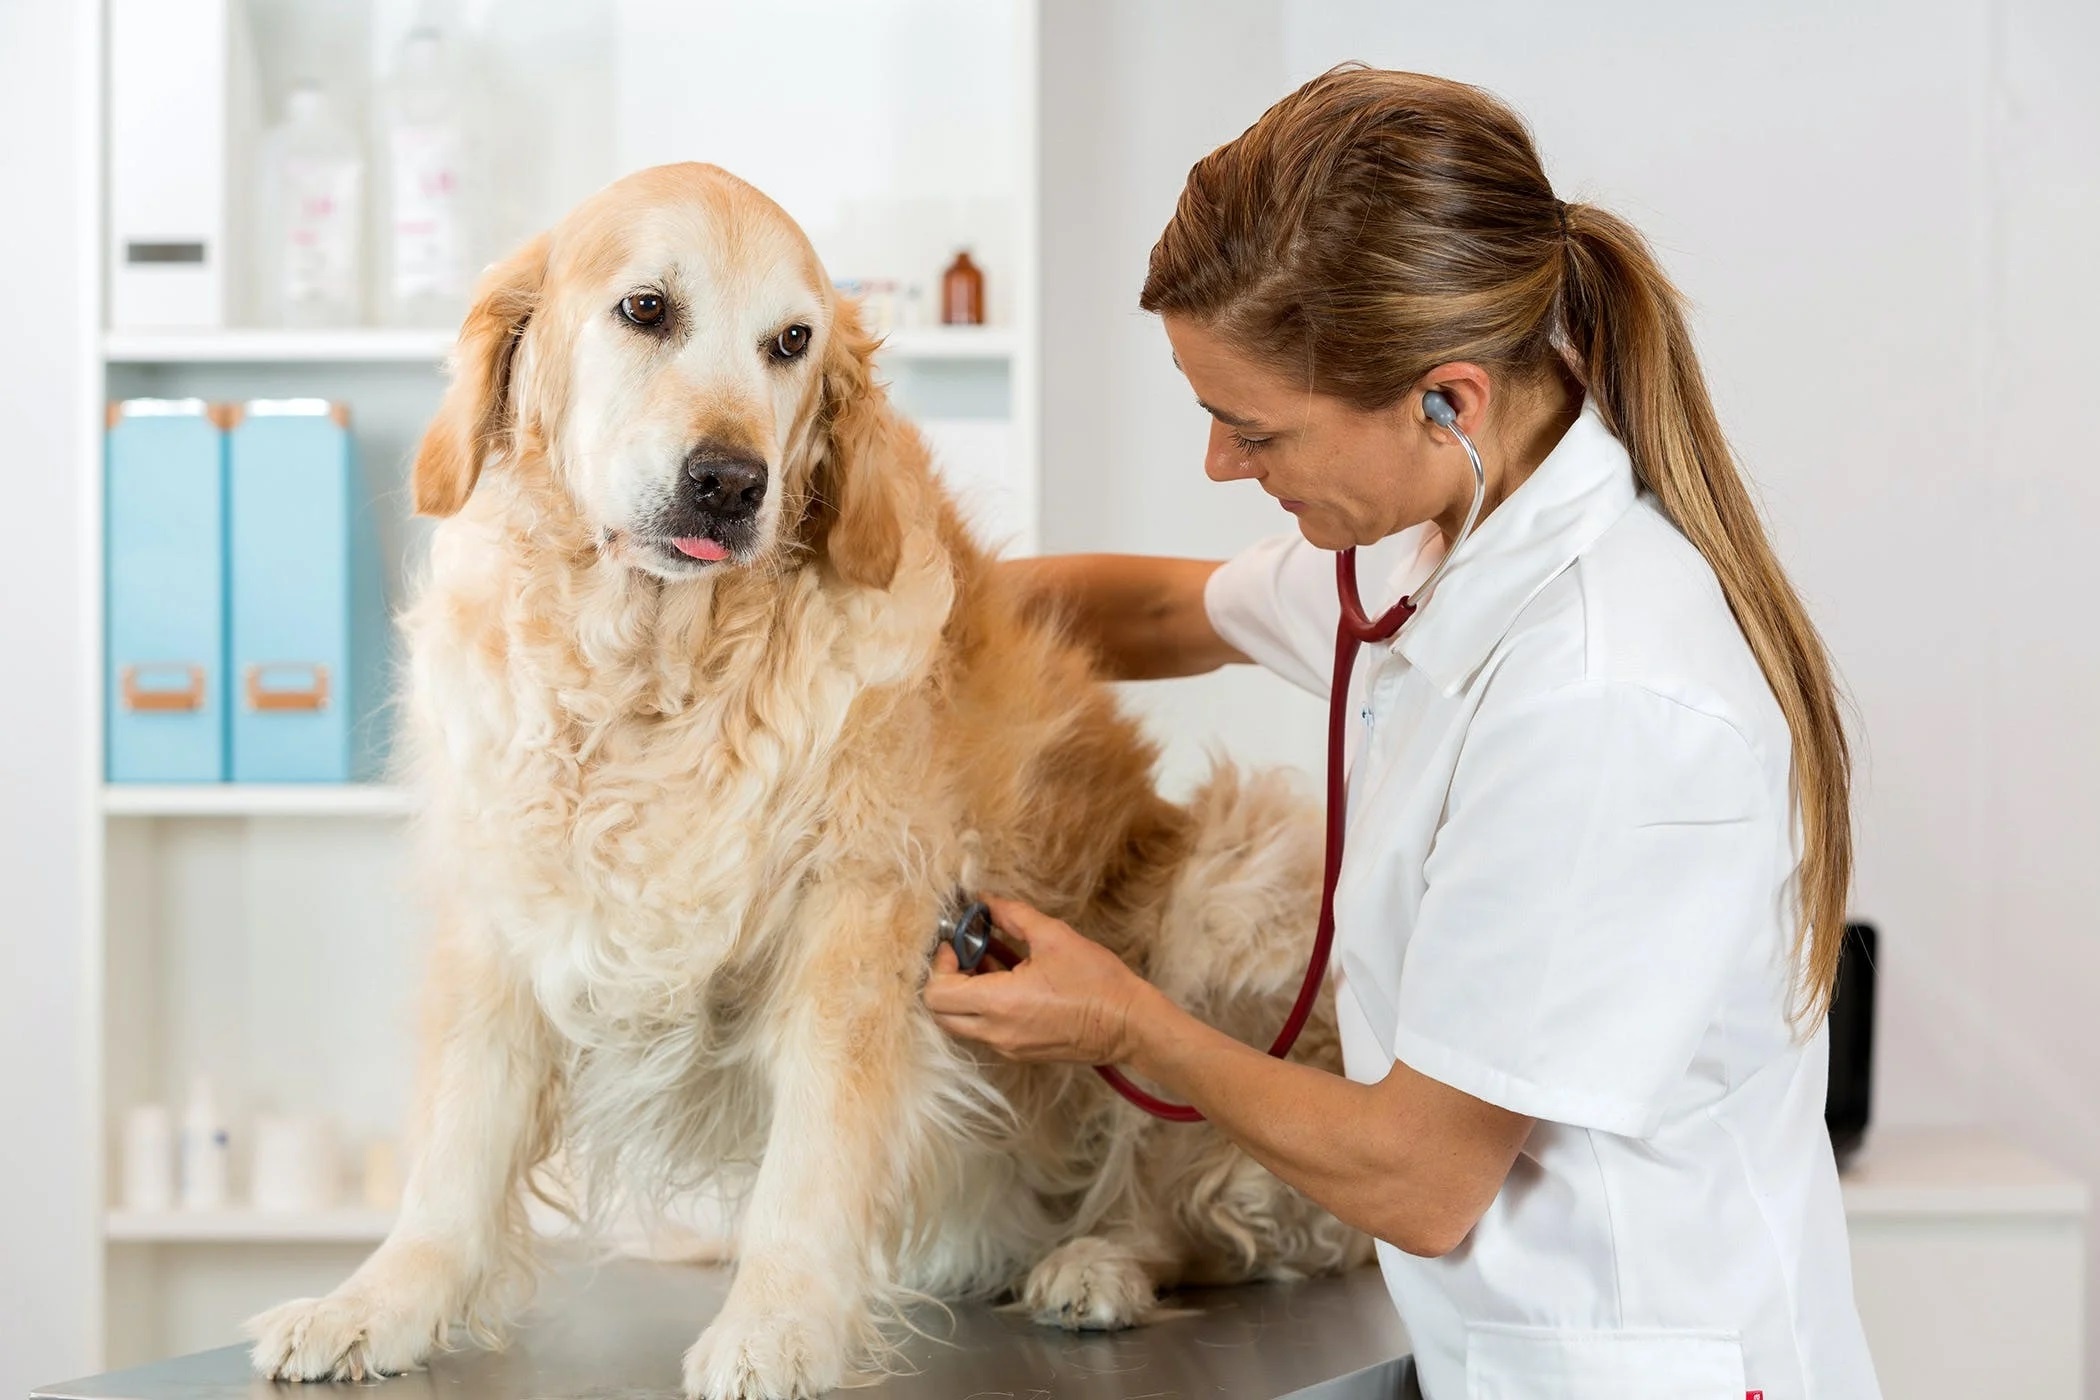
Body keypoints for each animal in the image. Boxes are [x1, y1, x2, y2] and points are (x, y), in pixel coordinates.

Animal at [249, 166, 1360, 1400]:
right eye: (646, 310)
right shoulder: (505, 900)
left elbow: (819, 1142)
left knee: (1202, 1200)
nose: (732, 481)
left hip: (1241, 868)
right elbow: (456, 1138)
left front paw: (779, 1320)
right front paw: (381, 1302)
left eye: (791, 341)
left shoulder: (861, 910)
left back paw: (1102, 1260)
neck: (652, 673)